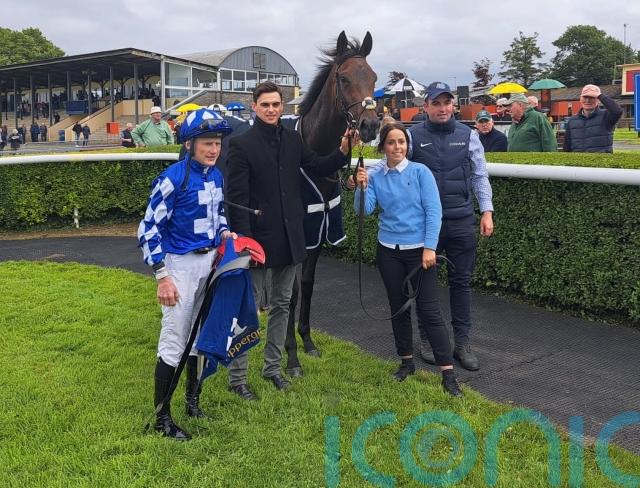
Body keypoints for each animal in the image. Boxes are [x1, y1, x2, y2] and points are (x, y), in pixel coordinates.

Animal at [283, 31, 379, 377]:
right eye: (344, 77)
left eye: (374, 77)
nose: (370, 126)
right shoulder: (297, 236)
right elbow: (293, 292)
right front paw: (291, 356)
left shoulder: (318, 234)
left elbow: (308, 285)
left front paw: (307, 342)